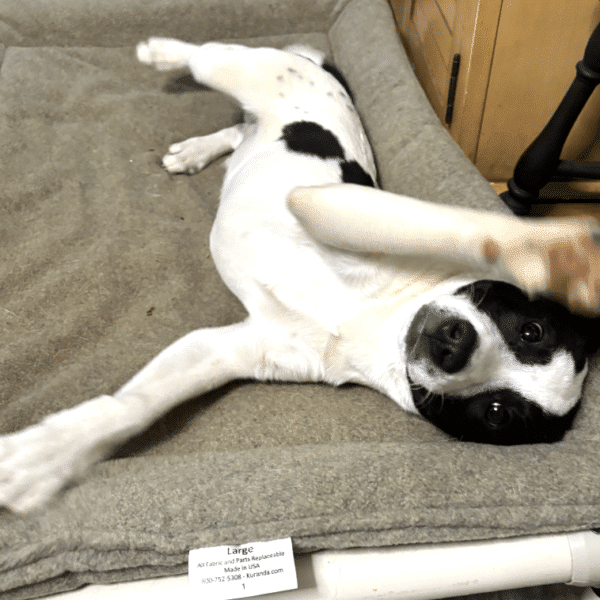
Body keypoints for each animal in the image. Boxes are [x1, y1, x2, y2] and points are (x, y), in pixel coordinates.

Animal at [1, 38, 600, 516]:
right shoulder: (349, 207)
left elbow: (133, 407)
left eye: (497, 414)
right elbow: (469, 229)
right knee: (210, 55)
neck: (379, 324)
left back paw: (198, 149)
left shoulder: (229, 350)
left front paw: (41, 460)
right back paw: (165, 53)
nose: (455, 345)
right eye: (530, 329)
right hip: (250, 69)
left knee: (237, 127)